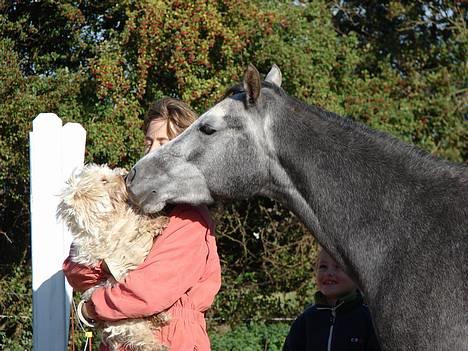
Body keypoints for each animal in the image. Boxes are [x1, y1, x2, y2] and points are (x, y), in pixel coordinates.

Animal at [57, 164, 169, 351]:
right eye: (104, 180)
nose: (124, 175)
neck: (113, 217)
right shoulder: (104, 248)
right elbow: (125, 243)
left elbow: (139, 222)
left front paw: (157, 220)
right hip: (128, 323)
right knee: (143, 339)